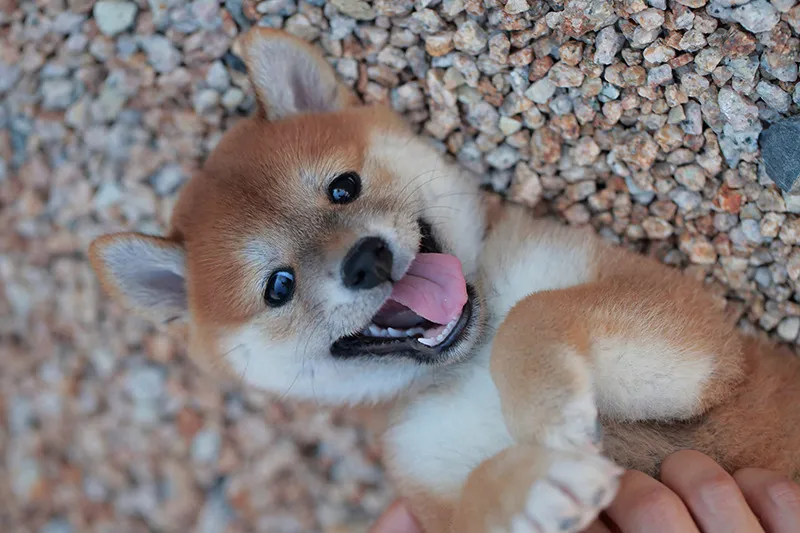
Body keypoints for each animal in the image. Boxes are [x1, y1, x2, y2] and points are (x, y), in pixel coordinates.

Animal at [90, 28, 800, 532]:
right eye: (279, 287)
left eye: (343, 187)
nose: (367, 259)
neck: (467, 360)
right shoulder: (431, 474)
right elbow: (484, 495)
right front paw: (534, 484)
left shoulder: (699, 344)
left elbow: (531, 315)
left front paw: (548, 416)